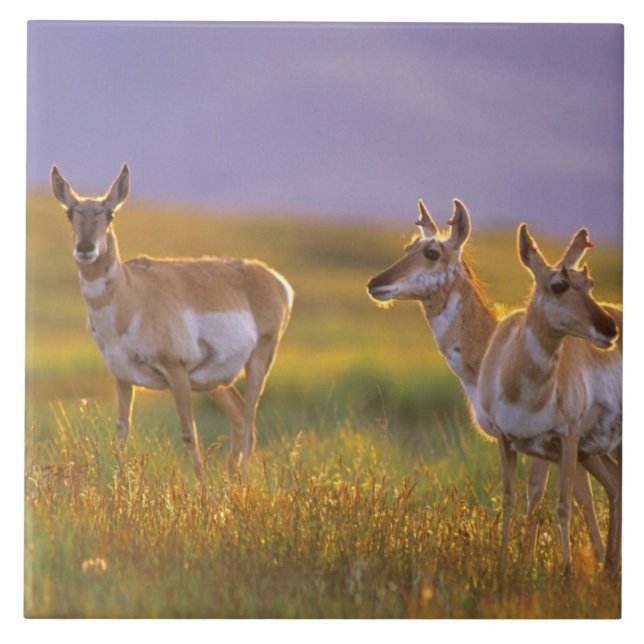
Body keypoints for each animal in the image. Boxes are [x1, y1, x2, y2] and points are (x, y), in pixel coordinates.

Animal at [50, 164, 293, 480]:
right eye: (70, 213)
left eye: (110, 214)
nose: (85, 248)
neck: (131, 295)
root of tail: (275, 278)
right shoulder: (122, 378)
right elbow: (121, 434)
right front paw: (119, 485)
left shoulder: (176, 371)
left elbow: (190, 434)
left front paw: (203, 488)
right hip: (215, 381)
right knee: (240, 418)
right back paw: (232, 481)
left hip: (258, 361)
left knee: (250, 421)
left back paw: (241, 481)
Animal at [367, 199, 610, 566]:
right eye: (407, 247)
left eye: (432, 252)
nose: (375, 283)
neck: (497, 345)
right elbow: (575, 495)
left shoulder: (557, 441)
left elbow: (546, 494)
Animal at [479, 224, 621, 574]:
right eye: (559, 285)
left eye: (589, 283)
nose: (610, 329)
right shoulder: (508, 440)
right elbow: (510, 498)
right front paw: (503, 564)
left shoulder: (567, 439)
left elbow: (563, 504)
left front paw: (567, 570)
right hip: (596, 453)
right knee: (616, 486)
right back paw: (610, 566)